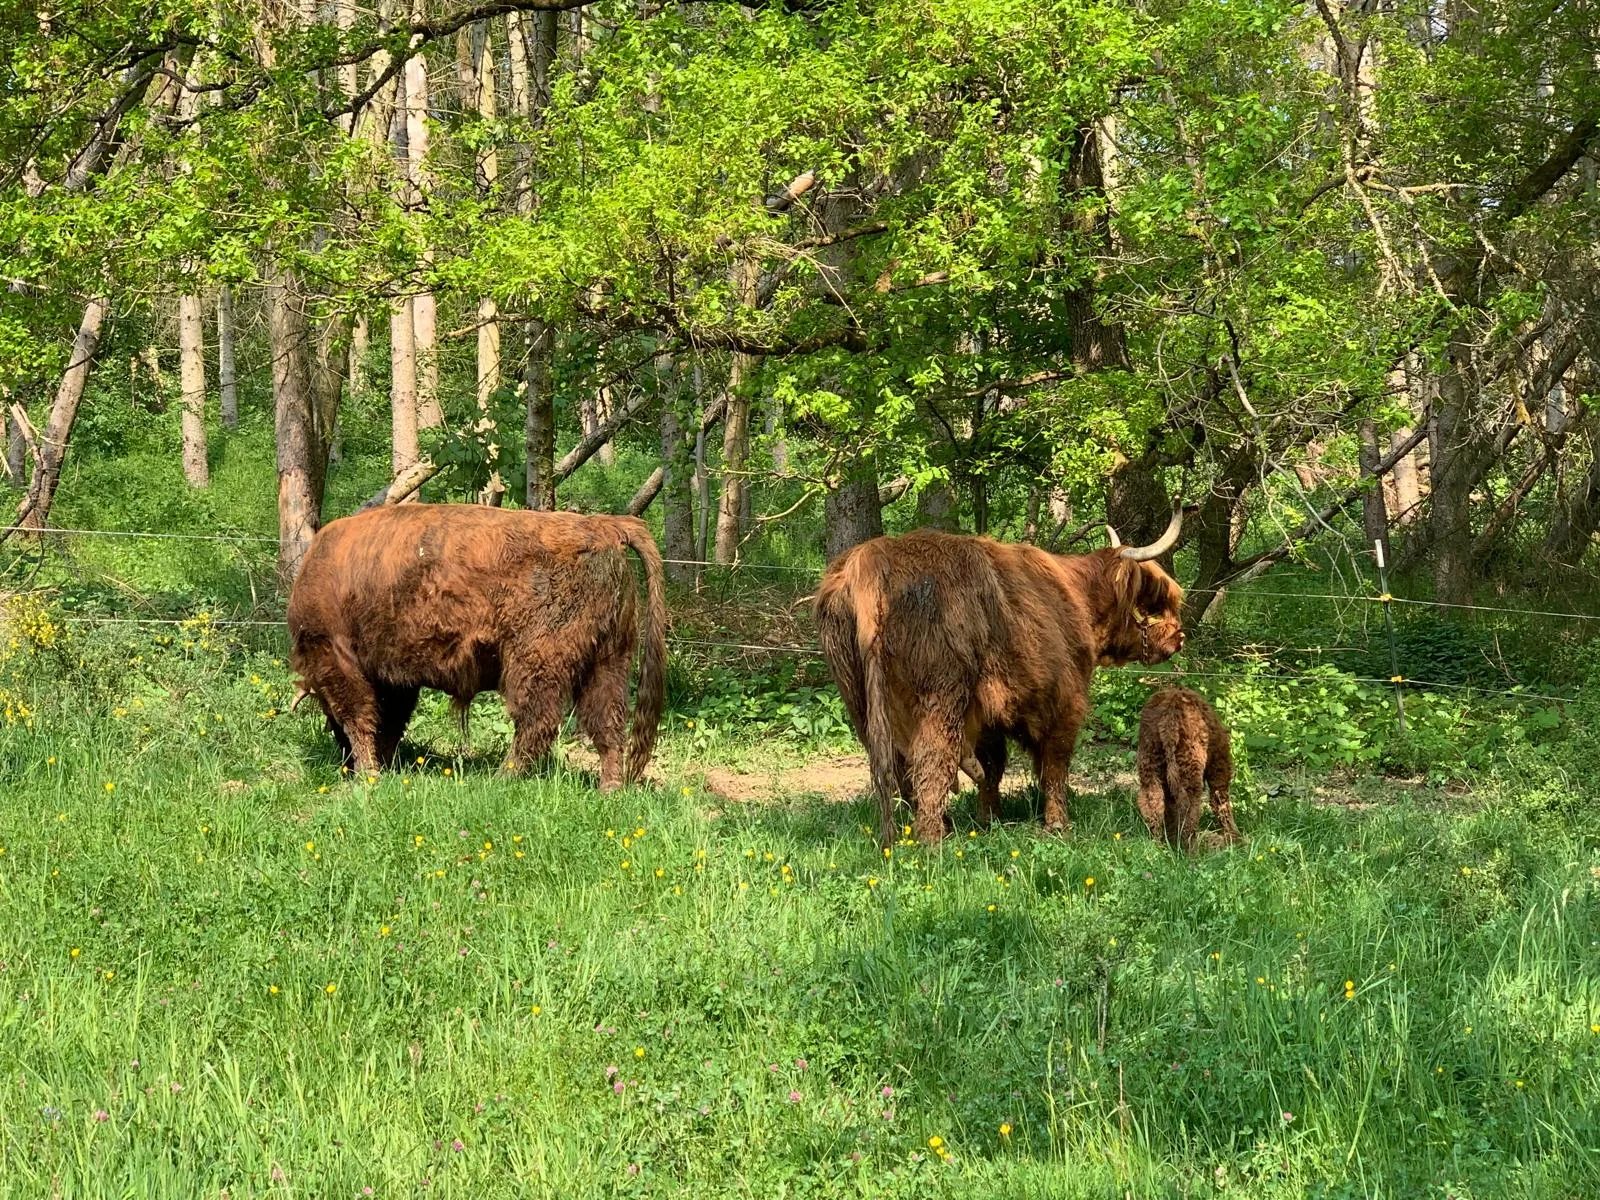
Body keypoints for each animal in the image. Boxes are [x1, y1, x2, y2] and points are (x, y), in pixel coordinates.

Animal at [288, 505, 666, 790]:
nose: (344, 763)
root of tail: (602, 527)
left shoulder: (336, 658)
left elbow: (359, 716)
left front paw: (368, 774)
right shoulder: (395, 679)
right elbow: (389, 721)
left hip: (537, 662)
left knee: (537, 722)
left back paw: (500, 778)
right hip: (608, 661)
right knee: (608, 724)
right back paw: (609, 790)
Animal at [814, 508, 1184, 845]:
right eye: (1152, 604)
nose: (1178, 636)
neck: (1076, 598)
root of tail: (870, 562)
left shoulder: (988, 713)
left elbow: (992, 768)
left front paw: (989, 819)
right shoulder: (1065, 702)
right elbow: (1054, 765)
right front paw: (1057, 825)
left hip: (861, 702)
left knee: (896, 766)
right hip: (941, 697)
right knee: (930, 762)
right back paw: (934, 841)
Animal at [1135, 686, 1240, 852]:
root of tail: (1170, 713)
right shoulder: (1218, 765)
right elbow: (1220, 801)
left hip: (1150, 765)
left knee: (1152, 803)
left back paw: (1159, 846)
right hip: (1190, 767)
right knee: (1190, 809)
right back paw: (1192, 850)